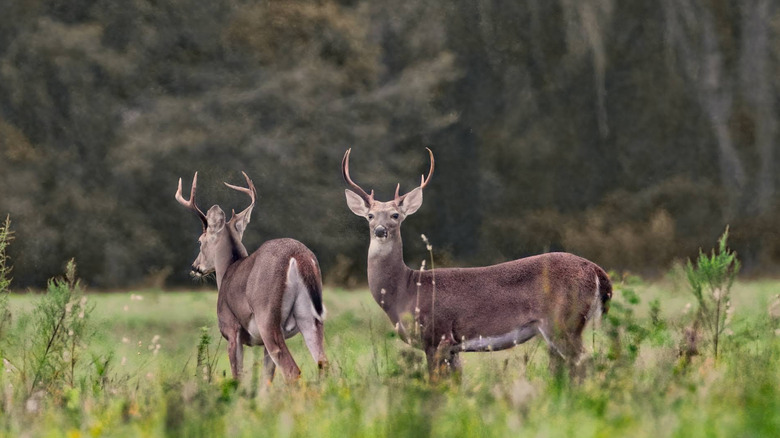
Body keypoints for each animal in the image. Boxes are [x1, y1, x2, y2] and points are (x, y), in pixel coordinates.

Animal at [175, 171, 328, 383]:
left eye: (200, 241)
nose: (195, 267)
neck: (228, 271)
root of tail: (298, 256)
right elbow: (266, 380)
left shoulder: (232, 330)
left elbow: (237, 377)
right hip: (311, 318)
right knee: (324, 364)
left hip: (267, 318)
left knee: (292, 370)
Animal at [342, 148, 612, 379]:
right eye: (370, 216)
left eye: (395, 215)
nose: (380, 231)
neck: (405, 290)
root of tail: (597, 271)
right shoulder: (452, 347)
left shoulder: (436, 335)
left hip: (563, 320)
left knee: (583, 361)